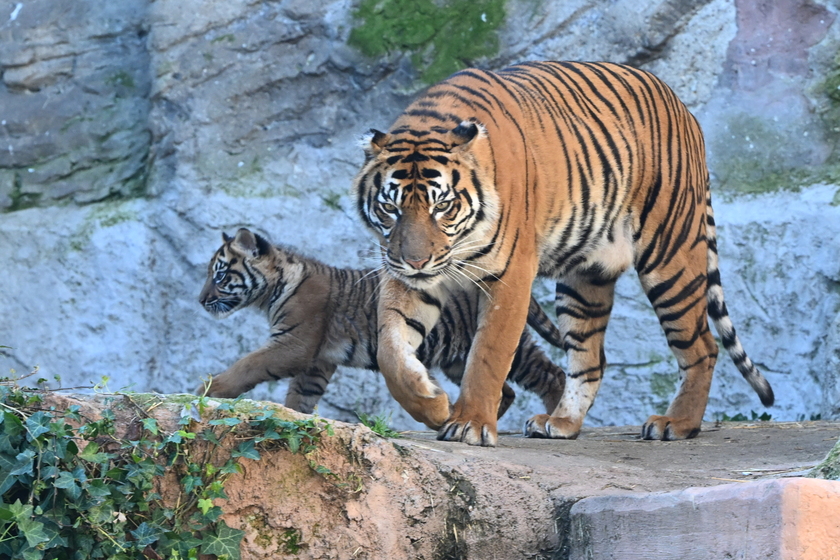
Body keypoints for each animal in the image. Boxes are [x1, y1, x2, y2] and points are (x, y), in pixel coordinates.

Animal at [352, 60, 772, 446]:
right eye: (390, 208)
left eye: (443, 206)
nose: (416, 261)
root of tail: (684, 108)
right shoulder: (404, 274)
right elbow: (391, 349)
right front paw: (433, 404)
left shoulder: (511, 274)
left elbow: (488, 354)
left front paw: (470, 423)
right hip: (585, 280)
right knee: (590, 358)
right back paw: (562, 422)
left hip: (670, 256)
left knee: (702, 345)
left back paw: (677, 423)